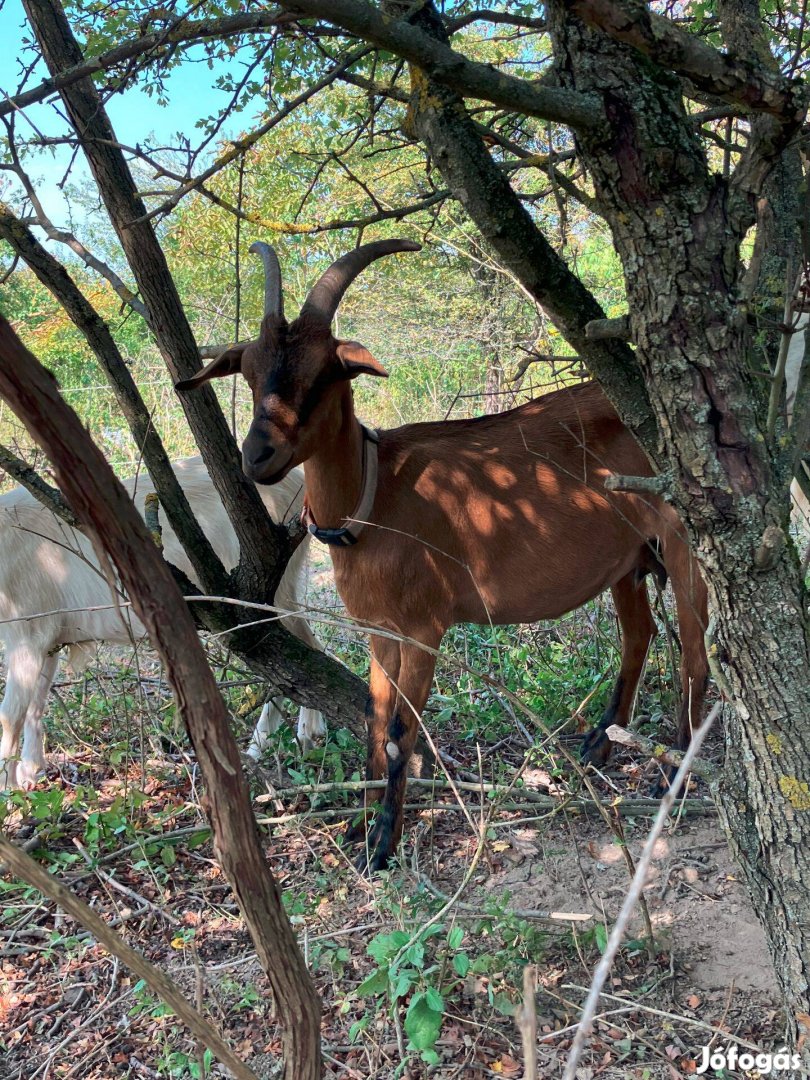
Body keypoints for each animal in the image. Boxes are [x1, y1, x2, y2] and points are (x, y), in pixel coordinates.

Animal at [0, 451, 324, 790]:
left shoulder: (26, 631)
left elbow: (11, 714)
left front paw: (8, 789)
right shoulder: (49, 638)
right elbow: (35, 706)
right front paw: (30, 772)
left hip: (271, 594)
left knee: (301, 657)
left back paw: (299, 736)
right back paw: (273, 743)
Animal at [179, 238, 708, 868]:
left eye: (325, 373)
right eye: (252, 371)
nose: (257, 456)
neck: (374, 498)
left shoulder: (423, 628)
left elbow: (401, 731)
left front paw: (382, 843)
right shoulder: (380, 630)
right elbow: (374, 719)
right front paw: (357, 828)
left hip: (684, 546)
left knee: (696, 659)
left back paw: (672, 778)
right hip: (627, 560)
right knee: (639, 636)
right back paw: (599, 745)